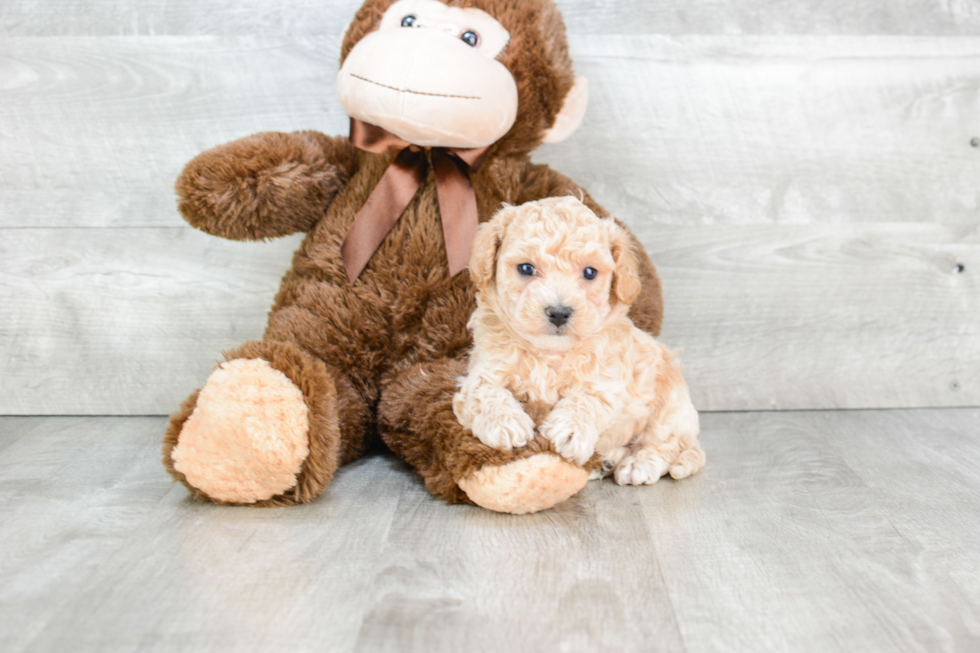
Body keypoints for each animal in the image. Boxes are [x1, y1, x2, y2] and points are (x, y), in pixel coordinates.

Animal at [454, 196, 704, 486]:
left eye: (590, 272)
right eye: (526, 268)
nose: (559, 312)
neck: (550, 354)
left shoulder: (607, 383)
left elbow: (589, 399)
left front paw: (570, 429)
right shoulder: (483, 371)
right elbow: (484, 391)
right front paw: (504, 423)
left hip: (670, 407)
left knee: (666, 445)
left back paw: (638, 464)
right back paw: (604, 463)